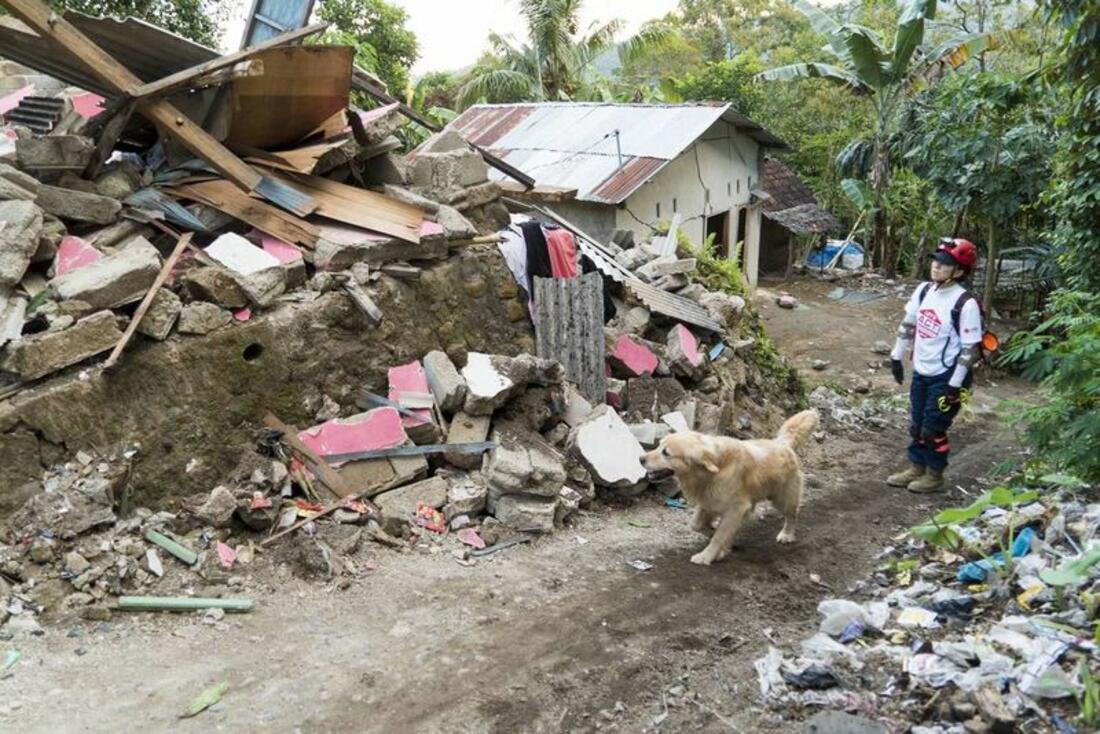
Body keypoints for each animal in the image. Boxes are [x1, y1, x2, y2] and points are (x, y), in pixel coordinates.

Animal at [642, 411, 818, 567]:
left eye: (666, 453)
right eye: (658, 445)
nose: (640, 458)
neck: (715, 468)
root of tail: (781, 444)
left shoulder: (736, 507)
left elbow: (719, 536)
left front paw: (707, 556)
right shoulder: (708, 500)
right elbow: (697, 525)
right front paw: (717, 539)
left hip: (782, 498)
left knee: (792, 514)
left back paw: (787, 534)